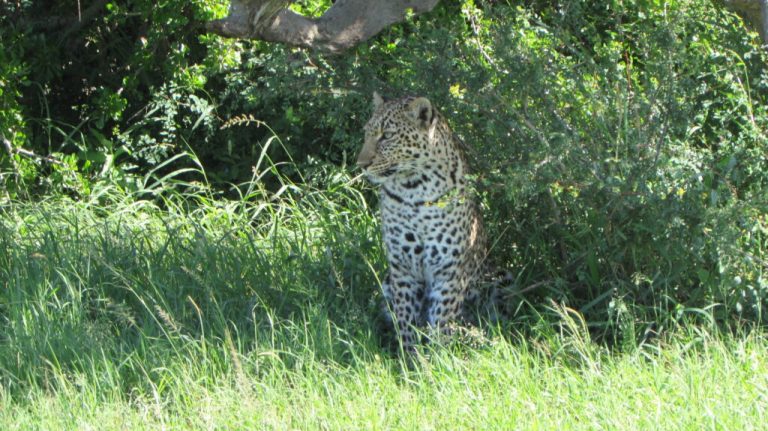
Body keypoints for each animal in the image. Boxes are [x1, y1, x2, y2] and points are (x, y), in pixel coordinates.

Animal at [356, 93, 486, 352]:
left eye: (387, 135)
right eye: (366, 133)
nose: (361, 164)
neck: (415, 190)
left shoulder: (448, 270)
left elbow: (441, 321)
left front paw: (438, 357)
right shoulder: (402, 266)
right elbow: (406, 320)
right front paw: (410, 357)